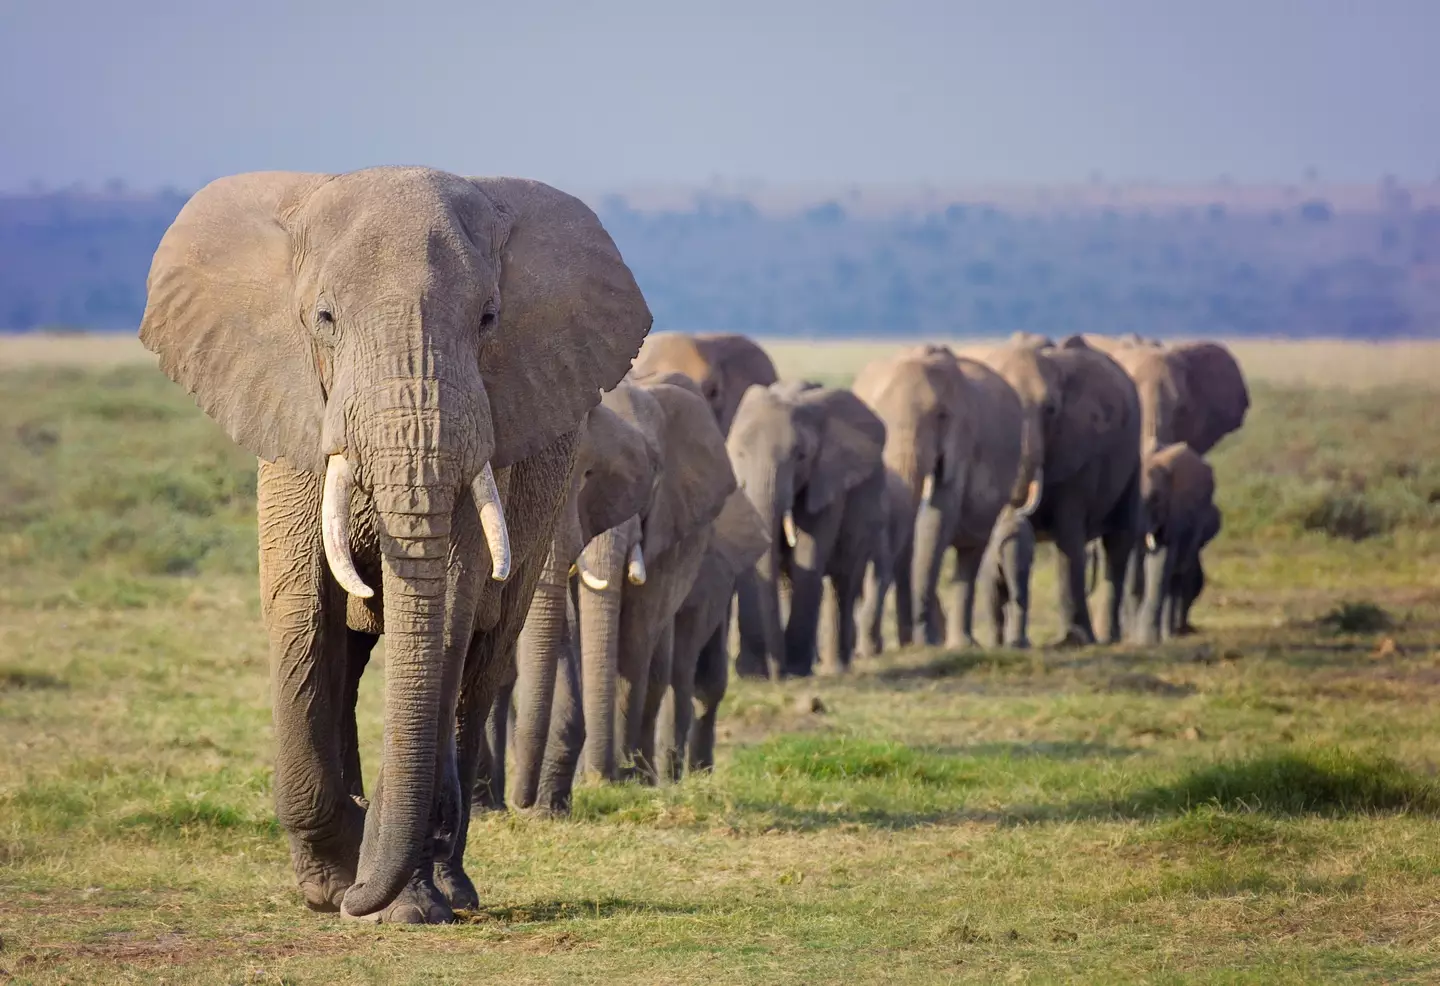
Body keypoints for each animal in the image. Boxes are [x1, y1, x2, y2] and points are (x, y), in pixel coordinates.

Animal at [569, 374, 736, 782]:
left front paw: (620, 777)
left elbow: (635, 637)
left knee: (659, 670)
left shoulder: (667, 529)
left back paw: (646, 775)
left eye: (656, 472)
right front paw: (590, 779)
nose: (600, 775)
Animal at [730, 381, 887, 678]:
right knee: (788, 581)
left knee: (844, 580)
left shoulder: (827, 481)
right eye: (739, 454)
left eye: (800, 456)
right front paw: (758, 672)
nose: (775, 675)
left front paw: (796, 669)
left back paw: (836, 668)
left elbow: (808, 555)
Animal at [852, 345, 1028, 652]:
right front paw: (903, 645)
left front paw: (925, 641)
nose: (869, 648)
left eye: (942, 416)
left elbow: (939, 513)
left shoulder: (963, 439)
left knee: (970, 554)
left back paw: (961, 644)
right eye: (876, 417)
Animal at [979, 502, 1038, 649]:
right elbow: (994, 598)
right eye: (999, 546)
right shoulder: (989, 565)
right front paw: (996, 647)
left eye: (1031, 549)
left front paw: (1019, 645)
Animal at [1131, 442, 1217, 644]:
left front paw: (1145, 642)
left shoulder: (1175, 513)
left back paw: (1170, 635)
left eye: (1155, 498)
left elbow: (1160, 561)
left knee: (1175, 578)